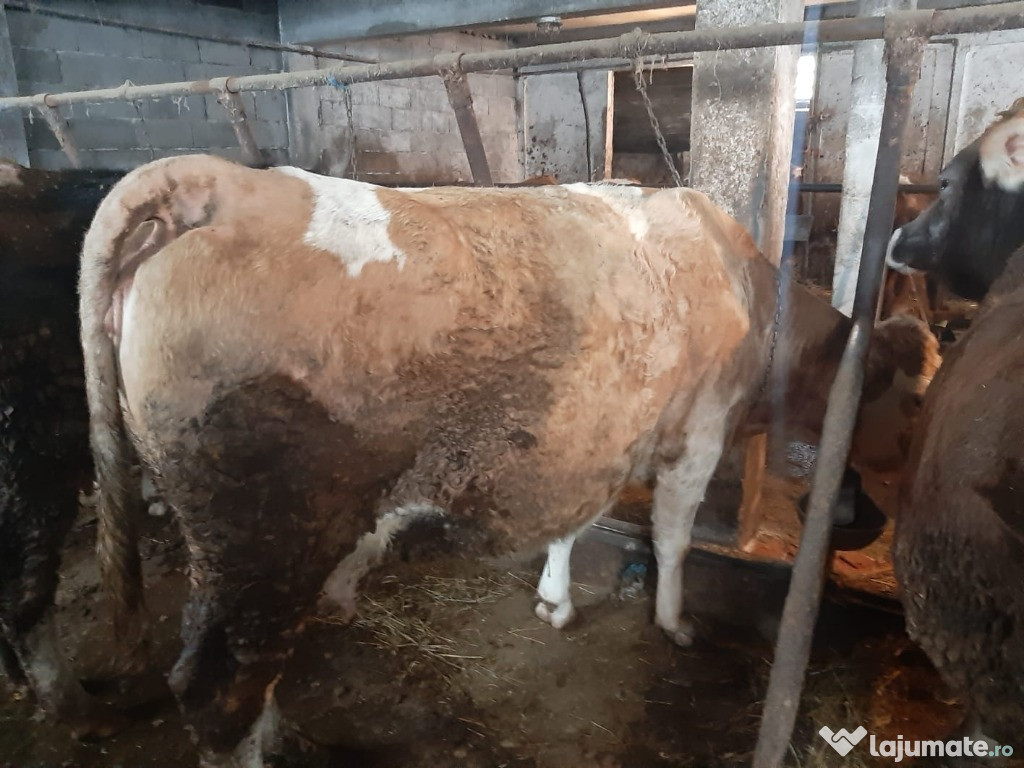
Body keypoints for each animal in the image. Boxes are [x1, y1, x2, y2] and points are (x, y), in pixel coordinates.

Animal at [79, 155, 939, 766]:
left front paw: (555, 600)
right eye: (917, 400)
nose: (883, 512)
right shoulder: (698, 430)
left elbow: (574, 523)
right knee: (218, 689)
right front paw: (675, 622)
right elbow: (671, 537)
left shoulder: (596, 430)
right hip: (265, 531)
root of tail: (220, 181)